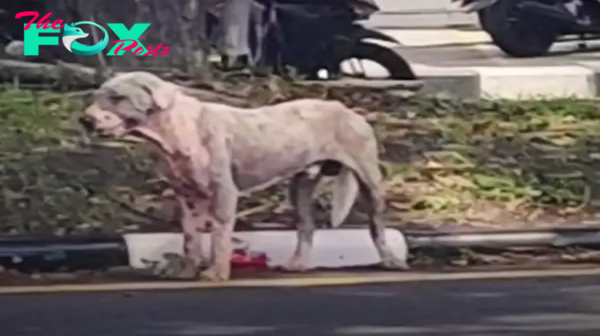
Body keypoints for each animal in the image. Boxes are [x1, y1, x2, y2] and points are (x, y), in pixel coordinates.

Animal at [79, 72, 408, 282]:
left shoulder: (224, 194)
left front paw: (216, 273)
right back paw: (297, 265)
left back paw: (391, 261)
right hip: (300, 188)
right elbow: (190, 239)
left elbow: (219, 237)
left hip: (370, 182)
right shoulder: (187, 197)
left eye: (117, 97)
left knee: (376, 227)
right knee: (307, 227)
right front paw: (187, 271)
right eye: (97, 96)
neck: (175, 128)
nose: (84, 120)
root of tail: (346, 109)